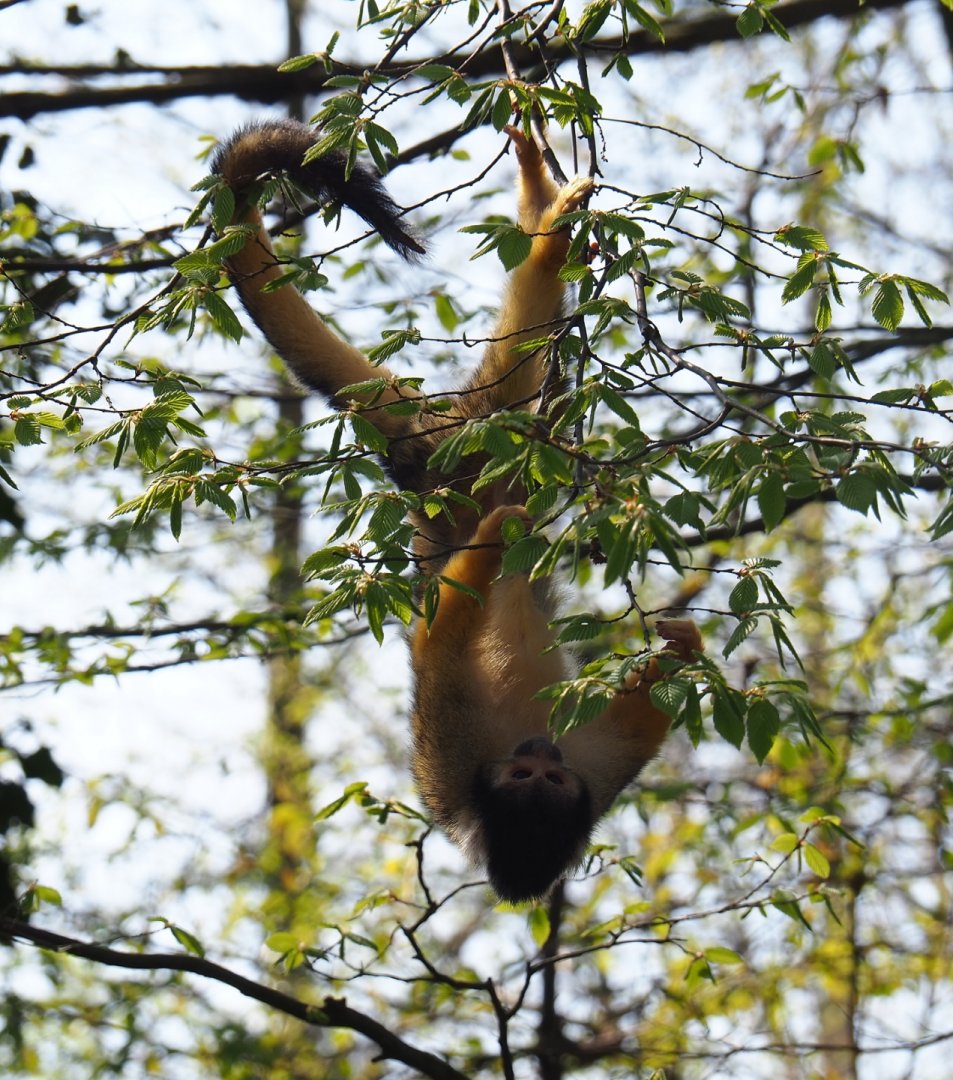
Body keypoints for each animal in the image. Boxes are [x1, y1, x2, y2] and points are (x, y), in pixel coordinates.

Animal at [211, 118, 702, 902]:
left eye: (549, 781)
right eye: (524, 779)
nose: (538, 756)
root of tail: (422, 447)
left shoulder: (599, 775)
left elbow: (639, 726)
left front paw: (684, 648)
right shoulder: (465, 756)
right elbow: (436, 646)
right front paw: (497, 538)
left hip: (475, 440)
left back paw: (542, 203)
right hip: (464, 450)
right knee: (520, 356)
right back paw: (553, 232)